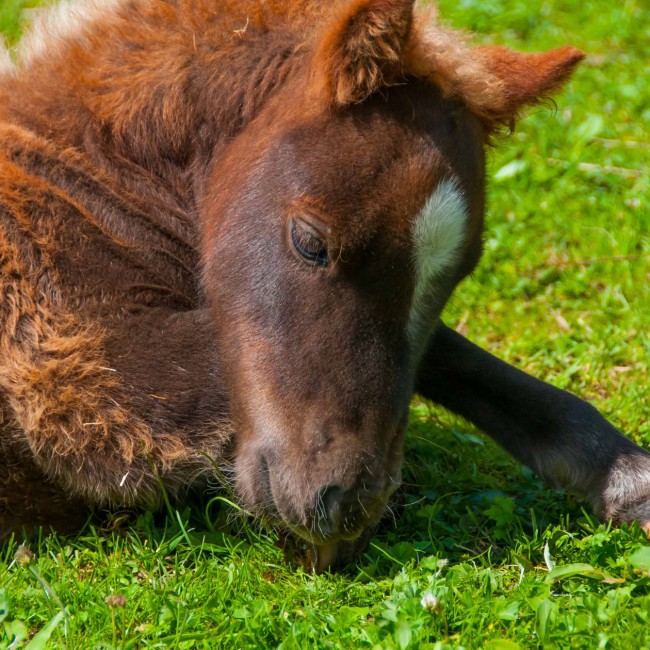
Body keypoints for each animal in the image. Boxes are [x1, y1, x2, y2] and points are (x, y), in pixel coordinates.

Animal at [1, 0, 648, 571]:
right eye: (311, 241)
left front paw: (625, 475)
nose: (343, 510)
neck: (83, 178)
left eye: (454, 276)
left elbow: (447, 356)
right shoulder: (75, 369)